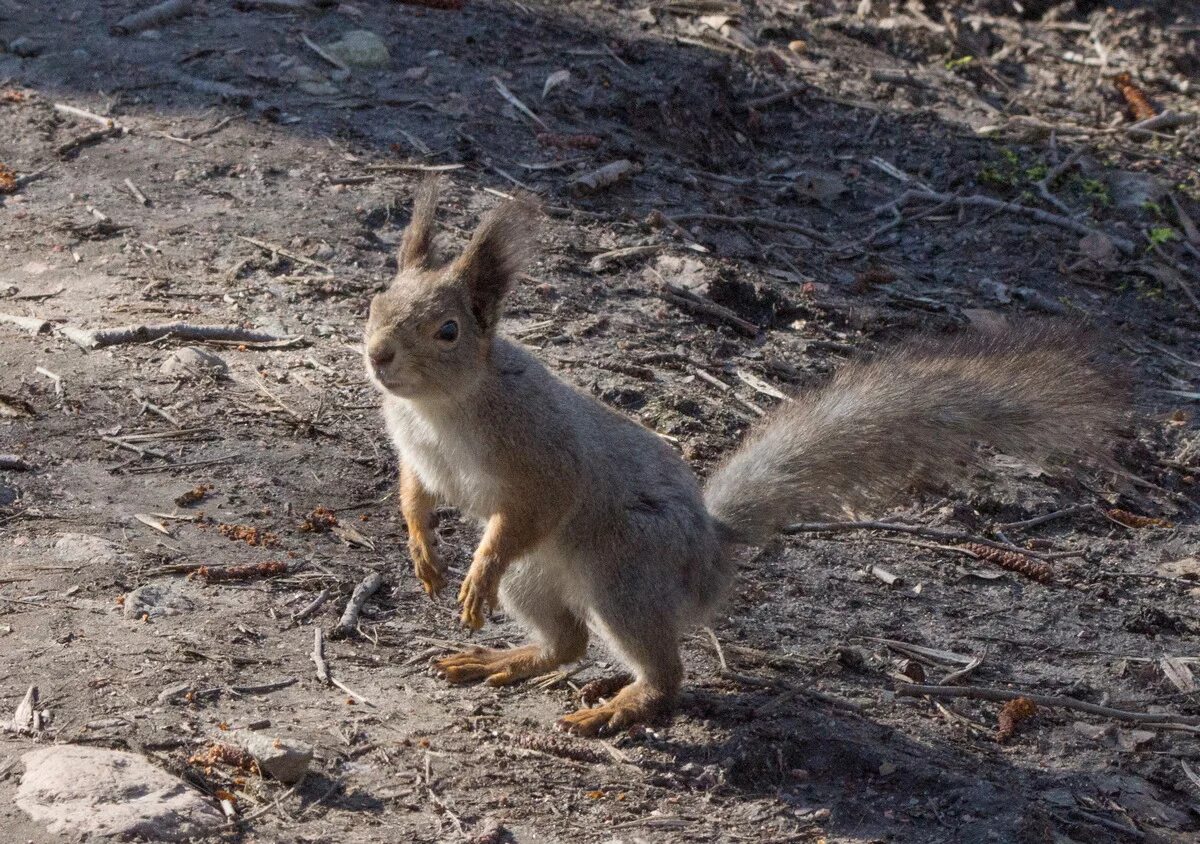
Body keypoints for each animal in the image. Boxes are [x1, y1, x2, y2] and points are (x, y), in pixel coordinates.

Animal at [360, 176, 1118, 734]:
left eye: (449, 330)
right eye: (377, 299)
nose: (378, 356)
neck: (441, 409)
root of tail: (709, 553)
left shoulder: (542, 451)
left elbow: (537, 503)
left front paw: (473, 571)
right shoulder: (416, 453)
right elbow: (415, 494)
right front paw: (424, 551)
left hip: (624, 574)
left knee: (662, 673)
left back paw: (619, 706)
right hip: (540, 579)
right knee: (567, 644)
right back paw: (500, 661)